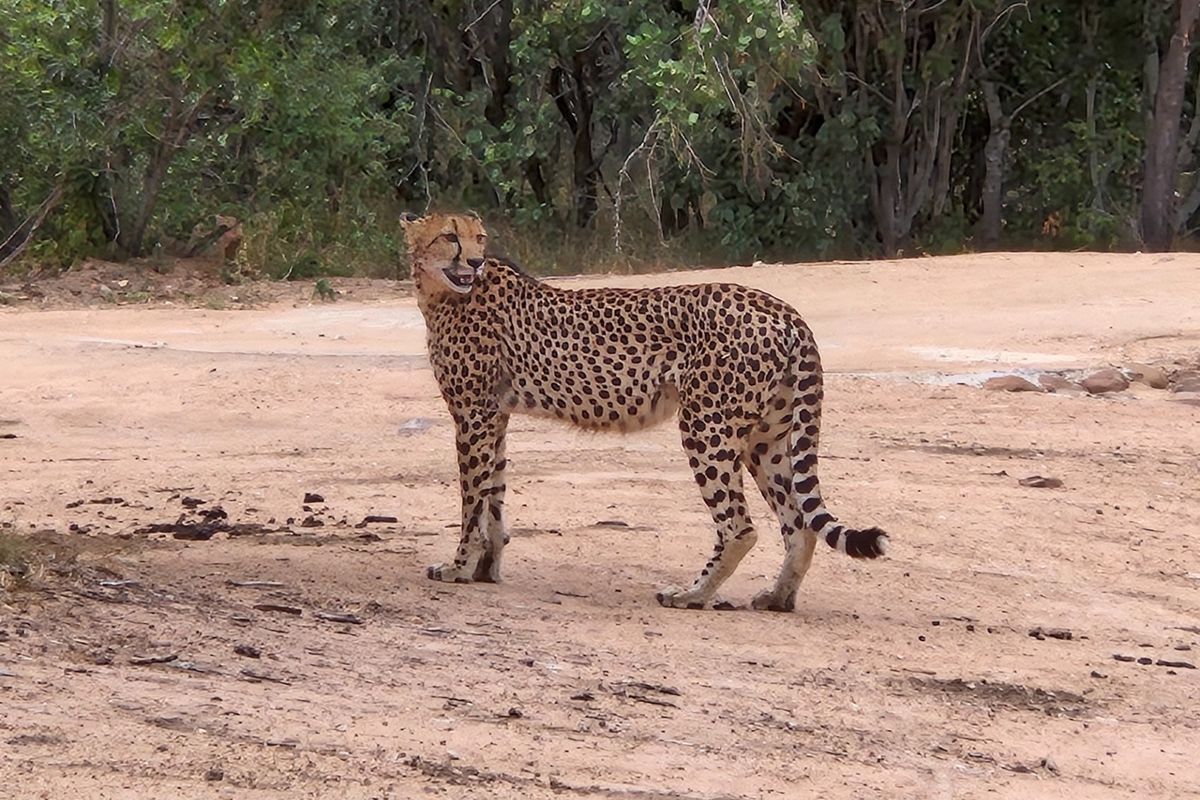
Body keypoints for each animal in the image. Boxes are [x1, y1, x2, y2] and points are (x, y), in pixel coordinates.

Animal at [400, 211, 890, 611]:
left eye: (478, 237)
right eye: (450, 236)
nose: (475, 262)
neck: (442, 292)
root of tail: (782, 308)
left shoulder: (473, 414)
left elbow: (472, 500)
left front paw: (459, 567)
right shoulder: (495, 415)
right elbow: (494, 496)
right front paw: (486, 567)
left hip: (705, 425)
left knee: (740, 526)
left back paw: (692, 594)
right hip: (764, 437)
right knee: (799, 522)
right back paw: (777, 597)